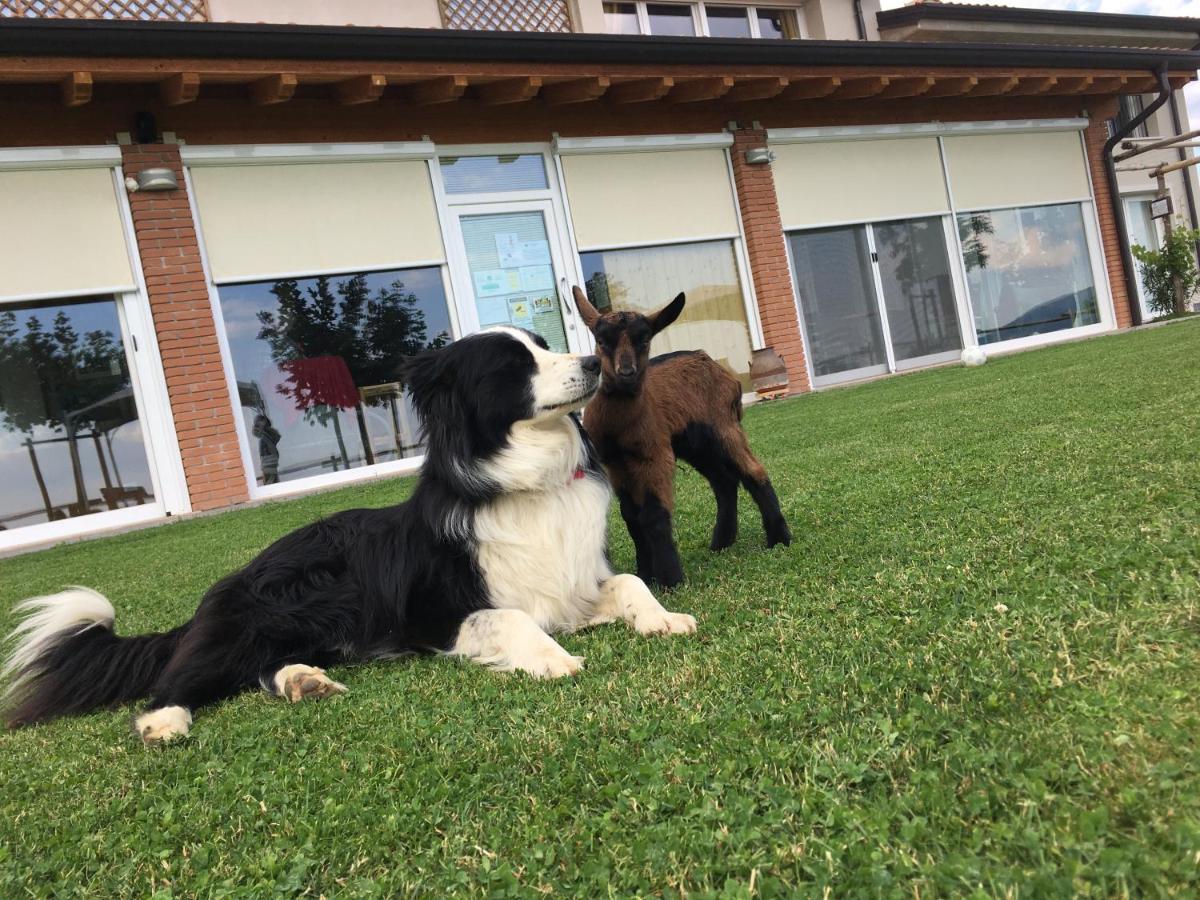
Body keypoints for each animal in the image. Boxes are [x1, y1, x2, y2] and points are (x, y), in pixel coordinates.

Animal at [2, 331, 696, 748]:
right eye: (515, 364)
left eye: (546, 346)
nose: (594, 362)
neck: (527, 482)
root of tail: (226, 584)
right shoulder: (433, 615)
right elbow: (509, 619)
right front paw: (553, 657)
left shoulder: (573, 584)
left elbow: (628, 581)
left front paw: (663, 618)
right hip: (279, 610)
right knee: (184, 676)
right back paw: (163, 720)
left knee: (262, 669)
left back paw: (300, 682)